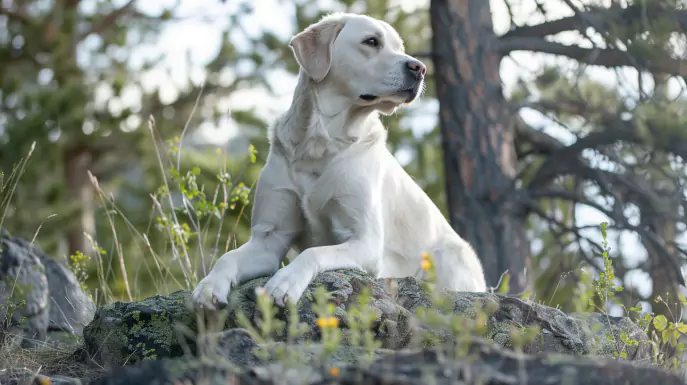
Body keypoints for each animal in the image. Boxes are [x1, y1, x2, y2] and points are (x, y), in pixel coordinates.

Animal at [191, 12, 486, 308]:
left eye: (399, 47)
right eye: (371, 41)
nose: (420, 68)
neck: (322, 141)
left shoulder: (365, 242)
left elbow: (313, 252)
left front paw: (285, 282)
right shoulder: (268, 238)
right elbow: (226, 257)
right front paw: (209, 286)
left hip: (447, 255)